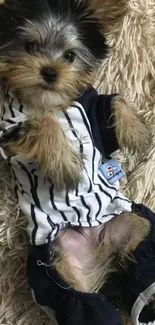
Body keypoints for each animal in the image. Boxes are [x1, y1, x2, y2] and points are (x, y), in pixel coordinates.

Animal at [0, 0, 153, 324]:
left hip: (132, 224)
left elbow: (114, 100)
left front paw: (137, 131)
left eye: (70, 56)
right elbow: (44, 123)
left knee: (140, 249)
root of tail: (97, 250)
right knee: (82, 301)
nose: (50, 72)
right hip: (57, 266)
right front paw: (66, 165)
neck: (50, 101)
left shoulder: (92, 111)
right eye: (30, 46)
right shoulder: (9, 132)